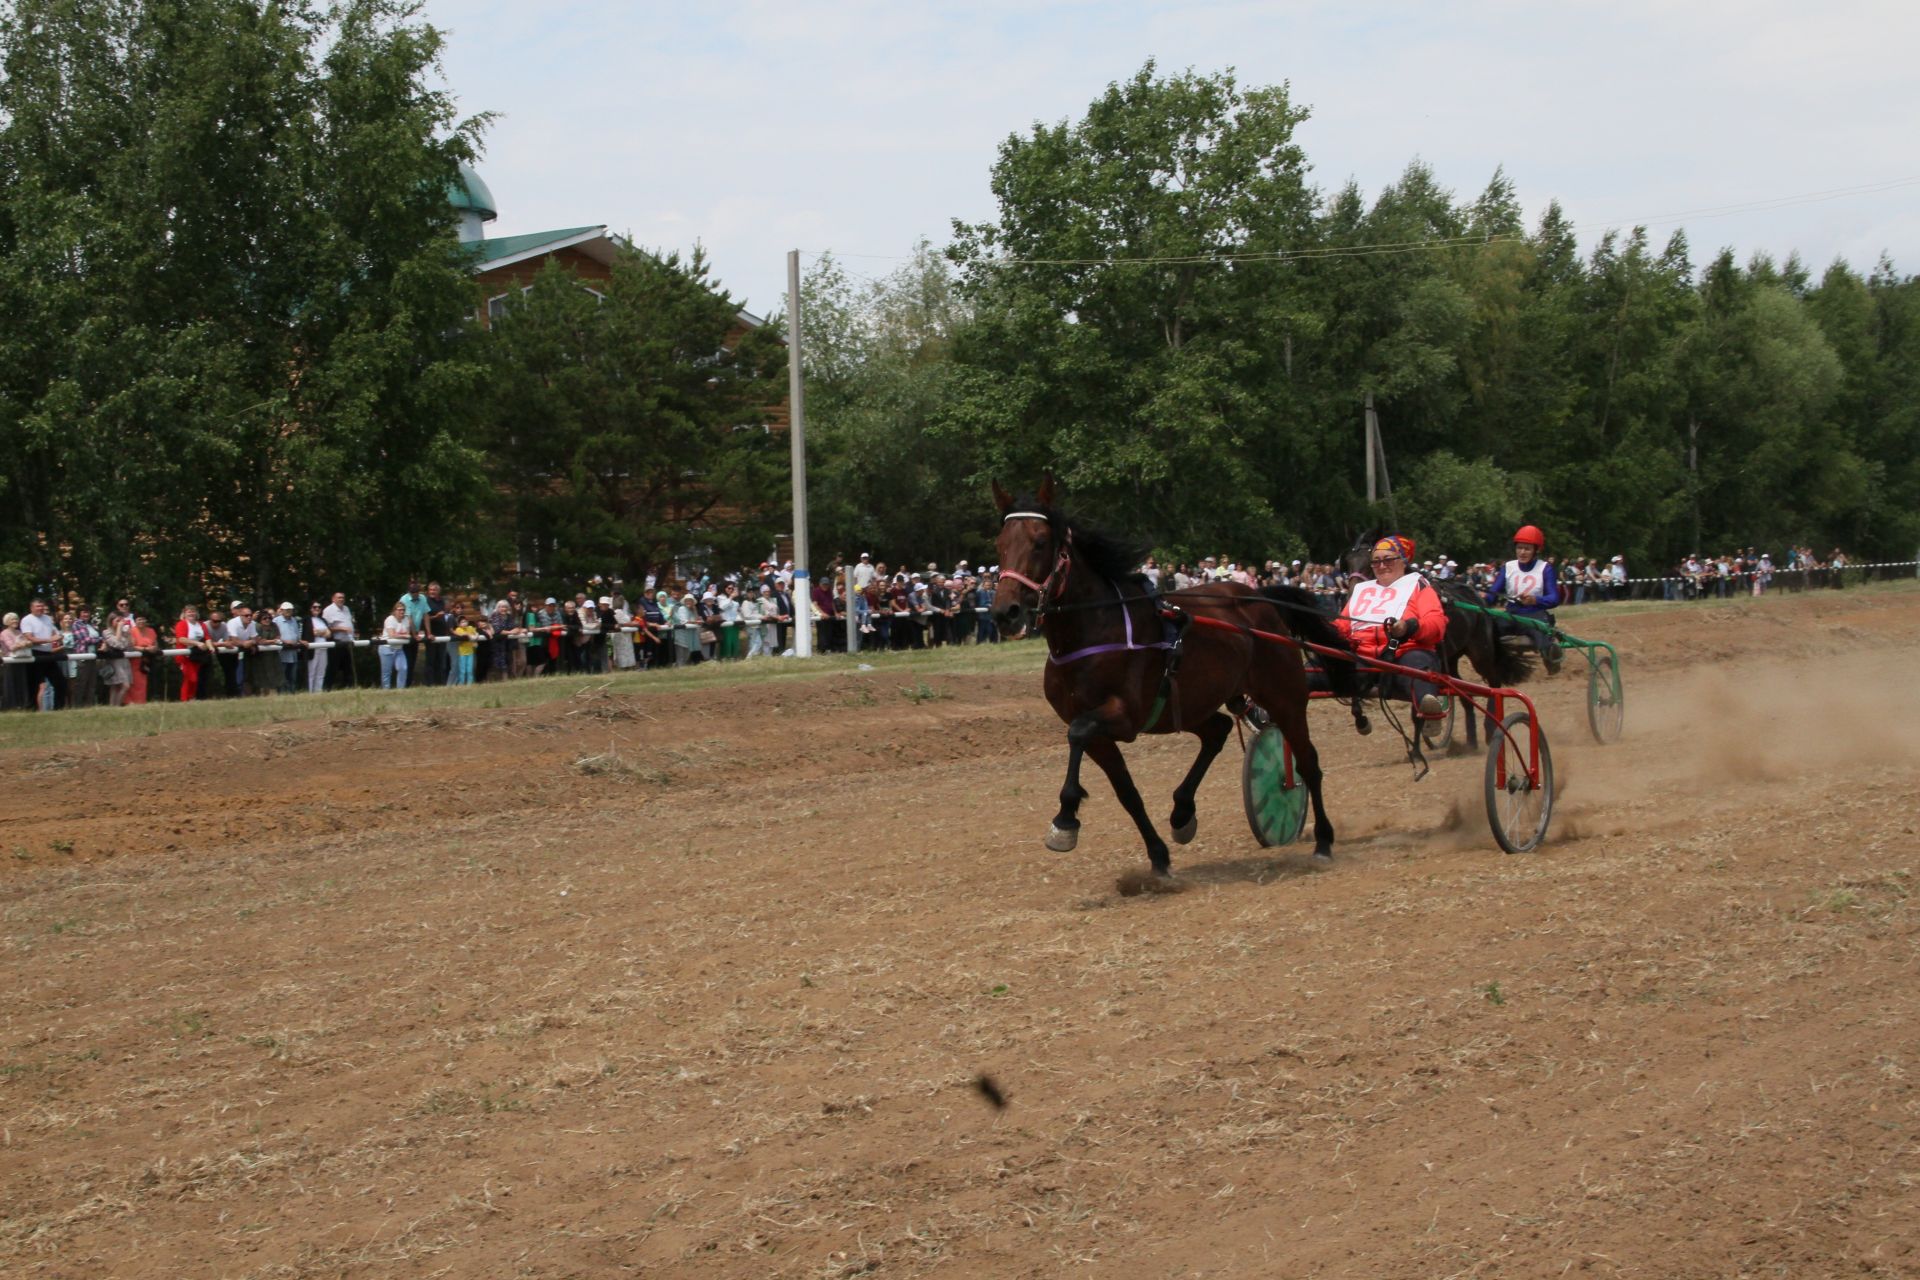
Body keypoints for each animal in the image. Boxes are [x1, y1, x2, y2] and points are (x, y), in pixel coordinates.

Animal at [998, 479, 1359, 882]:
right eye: (999, 544)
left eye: (1040, 542)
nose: (1005, 612)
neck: (1091, 630)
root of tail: (1259, 597)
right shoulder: (1102, 732)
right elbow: (1126, 791)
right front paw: (1158, 856)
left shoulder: (1124, 716)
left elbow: (1078, 732)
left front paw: (1064, 819)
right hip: (1192, 704)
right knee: (1218, 730)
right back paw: (1182, 812)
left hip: (1285, 695)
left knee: (1307, 762)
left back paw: (1323, 841)